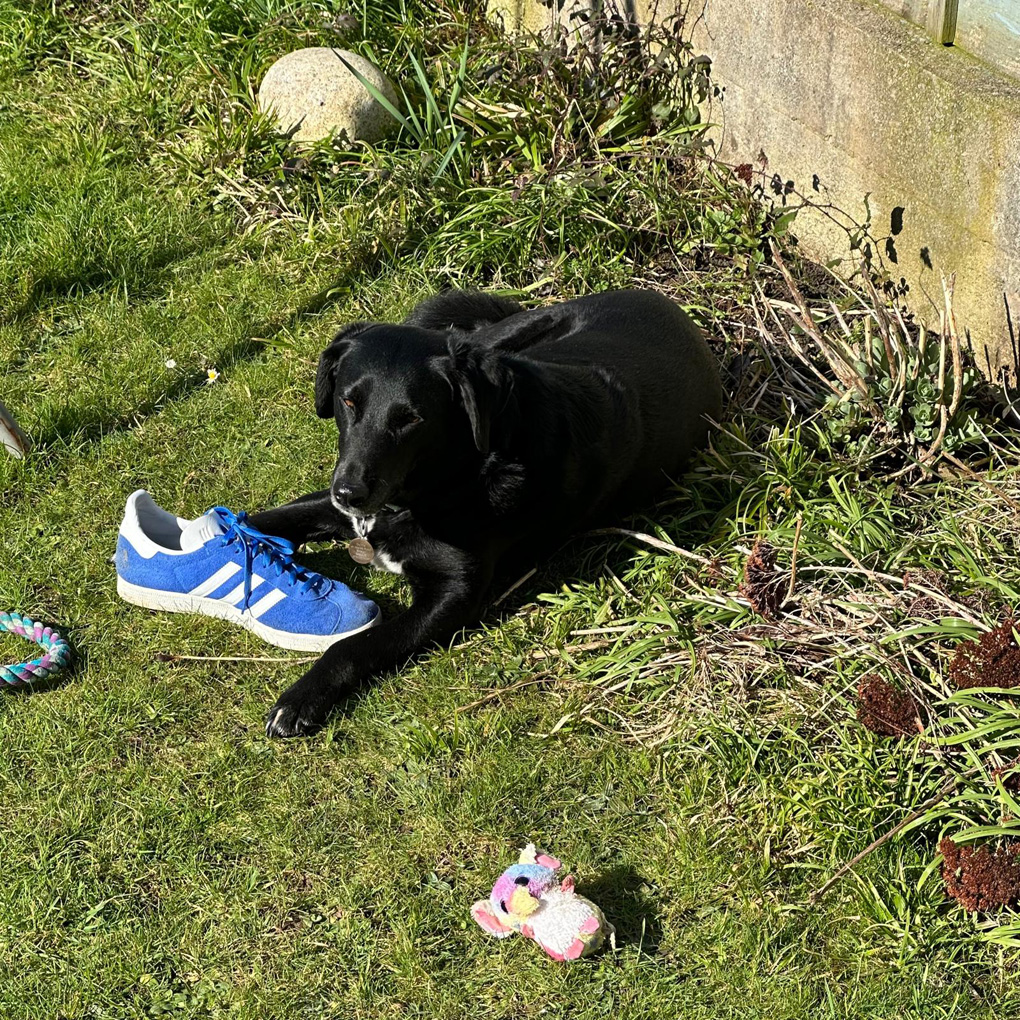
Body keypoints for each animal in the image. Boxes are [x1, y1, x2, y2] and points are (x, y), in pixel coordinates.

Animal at [250, 291, 722, 738]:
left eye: (411, 419)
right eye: (348, 402)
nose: (350, 493)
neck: (460, 473)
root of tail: (664, 302)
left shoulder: (453, 596)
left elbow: (356, 645)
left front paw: (302, 698)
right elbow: (272, 517)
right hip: (500, 341)